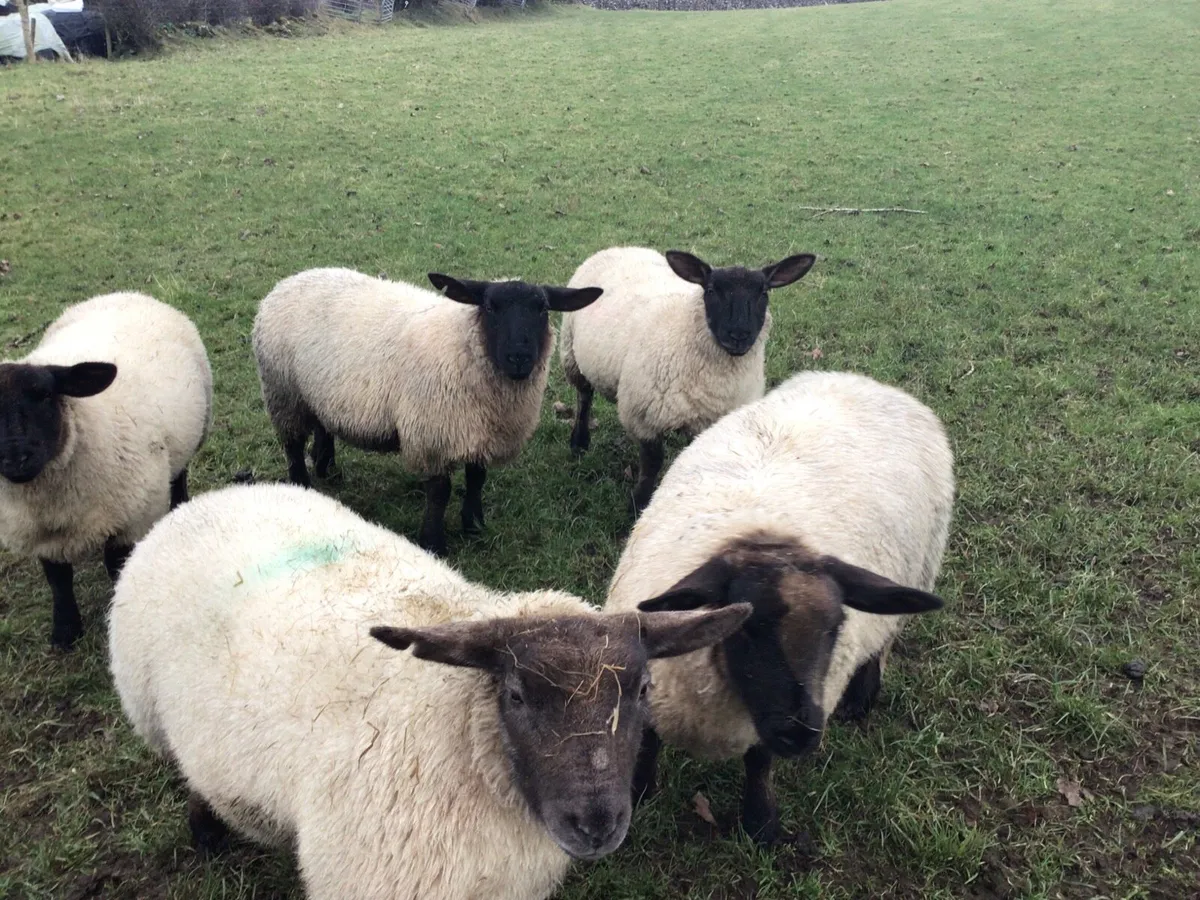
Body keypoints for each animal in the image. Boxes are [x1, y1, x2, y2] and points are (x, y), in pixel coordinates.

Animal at [0, 292, 212, 649]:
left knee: (179, 476)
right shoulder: (39, 532)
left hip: (190, 437)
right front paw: (65, 631)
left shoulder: (133, 516)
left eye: (44, 394)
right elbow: (58, 578)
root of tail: (127, 293)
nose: (16, 459)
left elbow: (116, 564)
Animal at [108, 483, 750, 900]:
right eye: (515, 696)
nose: (595, 825)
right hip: (153, 713)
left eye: (642, 689)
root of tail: (204, 500)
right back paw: (207, 836)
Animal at [252, 267, 602, 557]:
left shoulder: (479, 433)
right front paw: (433, 543)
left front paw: (474, 524)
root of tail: (289, 280)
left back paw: (327, 466)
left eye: (542, 309)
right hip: (283, 392)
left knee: (323, 426)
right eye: (490, 307)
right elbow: (439, 492)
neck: (464, 347)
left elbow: (477, 479)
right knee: (293, 446)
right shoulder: (431, 435)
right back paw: (303, 486)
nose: (519, 357)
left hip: (316, 393)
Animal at [559, 247, 815, 513]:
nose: (739, 335)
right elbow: (651, 465)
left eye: (763, 292)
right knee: (584, 397)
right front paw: (638, 504)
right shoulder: (642, 417)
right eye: (710, 290)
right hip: (571, 353)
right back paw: (579, 442)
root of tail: (620, 248)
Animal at [604, 371, 954, 844]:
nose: (801, 734)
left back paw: (860, 698)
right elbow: (645, 744)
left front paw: (761, 823)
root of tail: (866, 381)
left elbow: (758, 762)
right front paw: (636, 795)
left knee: (883, 642)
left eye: (835, 626)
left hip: (918, 568)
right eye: (748, 628)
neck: (763, 535)